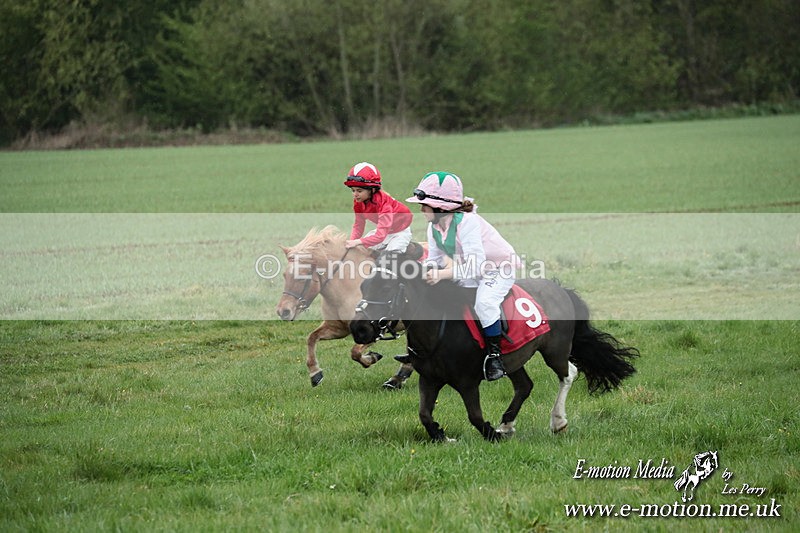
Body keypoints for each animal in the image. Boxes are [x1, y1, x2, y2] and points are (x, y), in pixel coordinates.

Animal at [275, 226, 414, 389]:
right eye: (285, 275)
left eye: (302, 276)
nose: (283, 311)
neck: (349, 285)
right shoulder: (338, 328)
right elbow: (312, 338)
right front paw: (315, 373)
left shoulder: (372, 331)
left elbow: (355, 352)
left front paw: (372, 357)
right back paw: (396, 379)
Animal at [349, 250, 639, 442]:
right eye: (363, 286)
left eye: (386, 288)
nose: (358, 328)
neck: (439, 330)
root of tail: (561, 290)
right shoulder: (429, 379)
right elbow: (424, 415)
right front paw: (442, 435)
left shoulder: (467, 382)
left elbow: (475, 416)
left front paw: (490, 434)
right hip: (514, 358)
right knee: (525, 385)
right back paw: (507, 424)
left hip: (554, 350)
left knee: (568, 373)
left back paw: (557, 421)